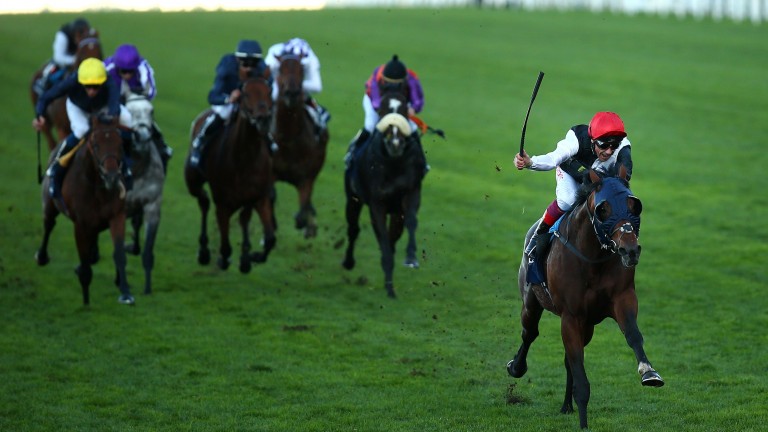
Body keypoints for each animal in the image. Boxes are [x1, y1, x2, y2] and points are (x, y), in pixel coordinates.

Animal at [34, 113, 134, 306]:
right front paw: (86, 301)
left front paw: (125, 293)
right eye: (96, 145)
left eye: (120, 144)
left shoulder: (117, 216)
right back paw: (42, 256)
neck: (97, 187)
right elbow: (85, 261)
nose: (112, 177)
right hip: (50, 203)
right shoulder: (80, 225)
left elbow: (119, 254)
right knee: (49, 224)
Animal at [184, 77, 278, 274]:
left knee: (241, 217)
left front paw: (252, 256)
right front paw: (226, 258)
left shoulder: (260, 196)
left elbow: (269, 238)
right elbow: (226, 244)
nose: (263, 119)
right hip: (192, 180)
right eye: (246, 94)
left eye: (268, 92)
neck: (245, 158)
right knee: (203, 201)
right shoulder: (223, 201)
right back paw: (204, 251)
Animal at [270, 54, 328, 240]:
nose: (292, 93)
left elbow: (303, 208)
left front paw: (307, 224)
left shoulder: (306, 178)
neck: (289, 138)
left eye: (302, 70)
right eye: (280, 70)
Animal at [344, 113, 428, 298]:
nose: (395, 144)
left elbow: (411, 222)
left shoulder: (411, 192)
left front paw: (411, 258)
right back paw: (348, 262)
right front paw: (390, 288)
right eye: (388, 133)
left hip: (395, 213)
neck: (394, 165)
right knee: (353, 229)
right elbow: (382, 237)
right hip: (352, 199)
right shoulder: (377, 204)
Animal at [508, 168, 664, 428]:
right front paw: (583, 424)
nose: (630, 250)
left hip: (588, 325)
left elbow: (633, 334)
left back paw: (566, 406)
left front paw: (649, 372)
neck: (593, 258)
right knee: (529, 333)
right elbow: (581, 377)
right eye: (603, 209)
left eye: (634, 205)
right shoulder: (570, 316)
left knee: (568, 358)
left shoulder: (622, 298)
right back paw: (516, 367)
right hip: (531, 301)